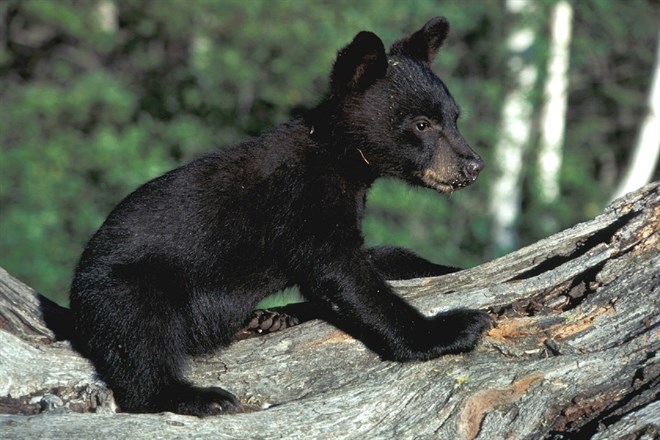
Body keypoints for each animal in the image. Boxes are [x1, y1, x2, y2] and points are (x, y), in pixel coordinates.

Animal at [69, 16, 490, 417]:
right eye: (422, 124)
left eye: (455, 117)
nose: (473, 165)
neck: (339, 159)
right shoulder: (302, 202)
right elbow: (345, 276)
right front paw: (454, 328)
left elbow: (377, 257)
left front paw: (449, 269)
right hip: (125, 284)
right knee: (140, 337)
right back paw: (201, 396)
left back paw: (267, 321)